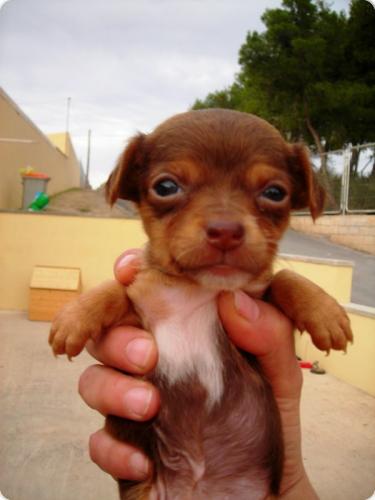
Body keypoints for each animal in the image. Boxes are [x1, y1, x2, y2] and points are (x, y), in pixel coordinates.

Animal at [49, 110, 352, 500]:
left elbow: (285, 278)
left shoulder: (255, 298)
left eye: (275, 193)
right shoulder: (139, 315)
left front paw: (327, 313)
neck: (199, 289)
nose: (225, 230)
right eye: (165, 187)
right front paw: (75, 317)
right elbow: (116, 289)